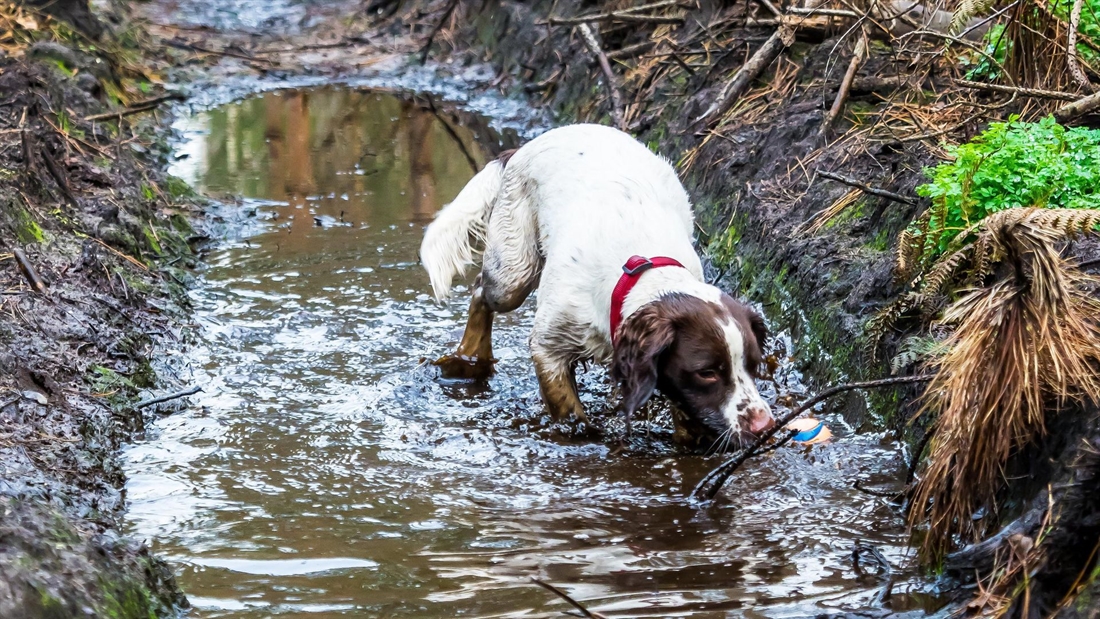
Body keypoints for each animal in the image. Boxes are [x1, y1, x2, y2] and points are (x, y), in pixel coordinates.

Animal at [420, 122, 774, 439]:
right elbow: (567, 408)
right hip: (513, 274)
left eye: (753, 364)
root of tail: (522, 147)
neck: (640, 270)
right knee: (482, 290)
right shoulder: (548, 347)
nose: (764, 425)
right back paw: (469, 361)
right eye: (707, 372)